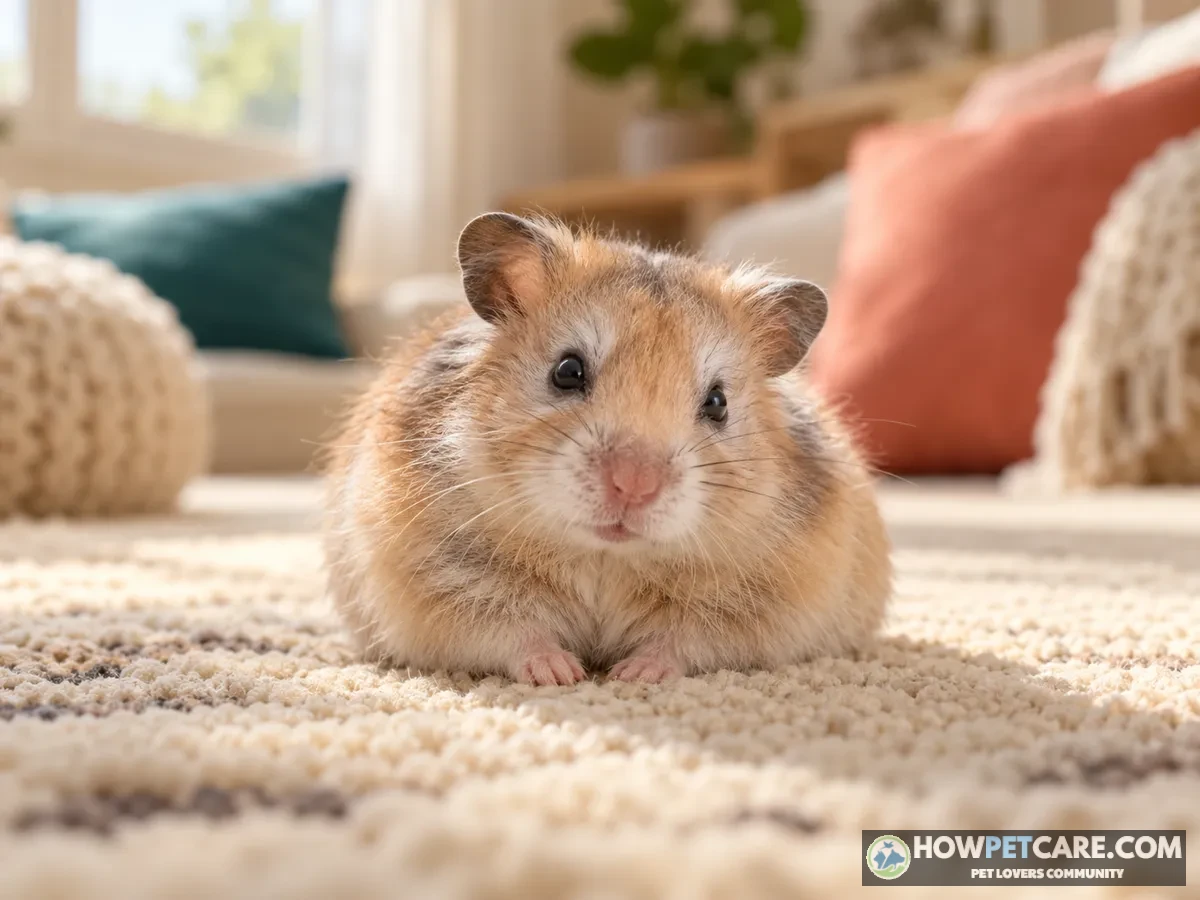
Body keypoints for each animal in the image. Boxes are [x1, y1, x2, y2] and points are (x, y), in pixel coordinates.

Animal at [324, 213, 891, 685]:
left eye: (718, 402)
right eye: (567, 371)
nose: (634, 485)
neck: (605, 557)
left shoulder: (760, 606)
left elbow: (682, 642)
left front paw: (632, 676)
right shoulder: (439, 585)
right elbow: (514, 632)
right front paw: (562, 674)